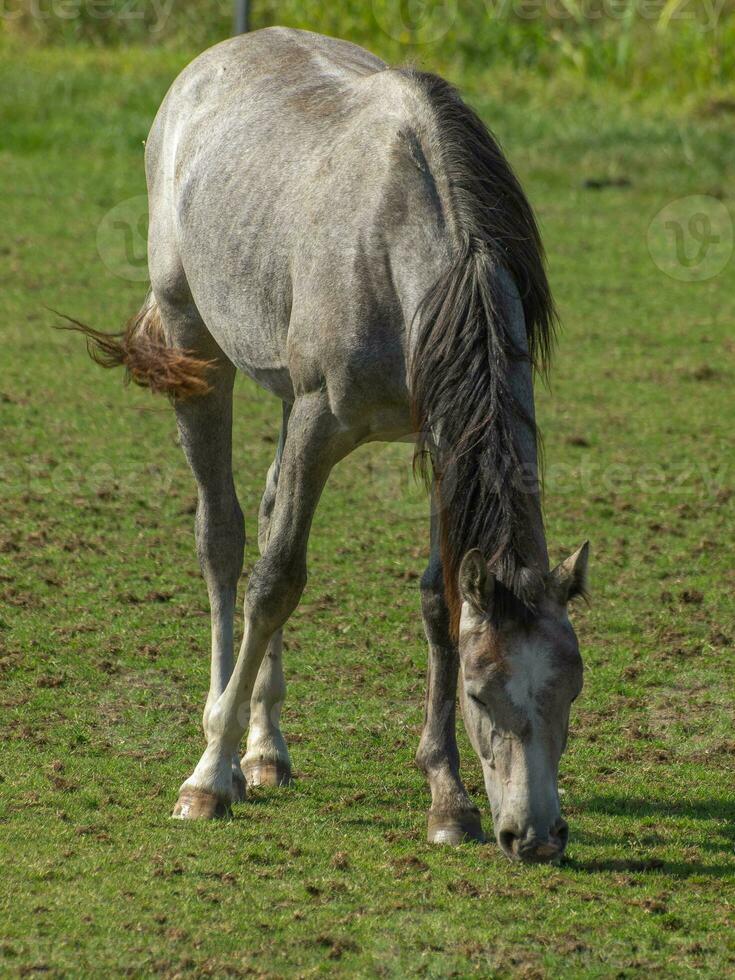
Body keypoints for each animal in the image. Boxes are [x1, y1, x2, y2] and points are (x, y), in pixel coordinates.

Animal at [64, 26, 592, 860]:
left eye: (571, 686)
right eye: (482, 694)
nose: (535, 835)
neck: (407, 256)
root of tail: (213, 60)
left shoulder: (438, 437)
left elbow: (437, 599)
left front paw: (447, 797)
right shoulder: (320, 422)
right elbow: (276, 579)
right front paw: (206, 780)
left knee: (267, 506)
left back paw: (266, 750)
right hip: (197, 349)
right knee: (225, 539)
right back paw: (224, 746)